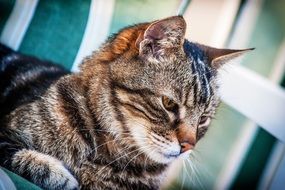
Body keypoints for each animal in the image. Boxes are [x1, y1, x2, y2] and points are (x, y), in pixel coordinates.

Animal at [0, 16, 251, 190]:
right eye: (169, 104)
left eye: (203, 119)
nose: (188, 146)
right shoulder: (4, 135)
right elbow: (30, 160)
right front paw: (62, 176)